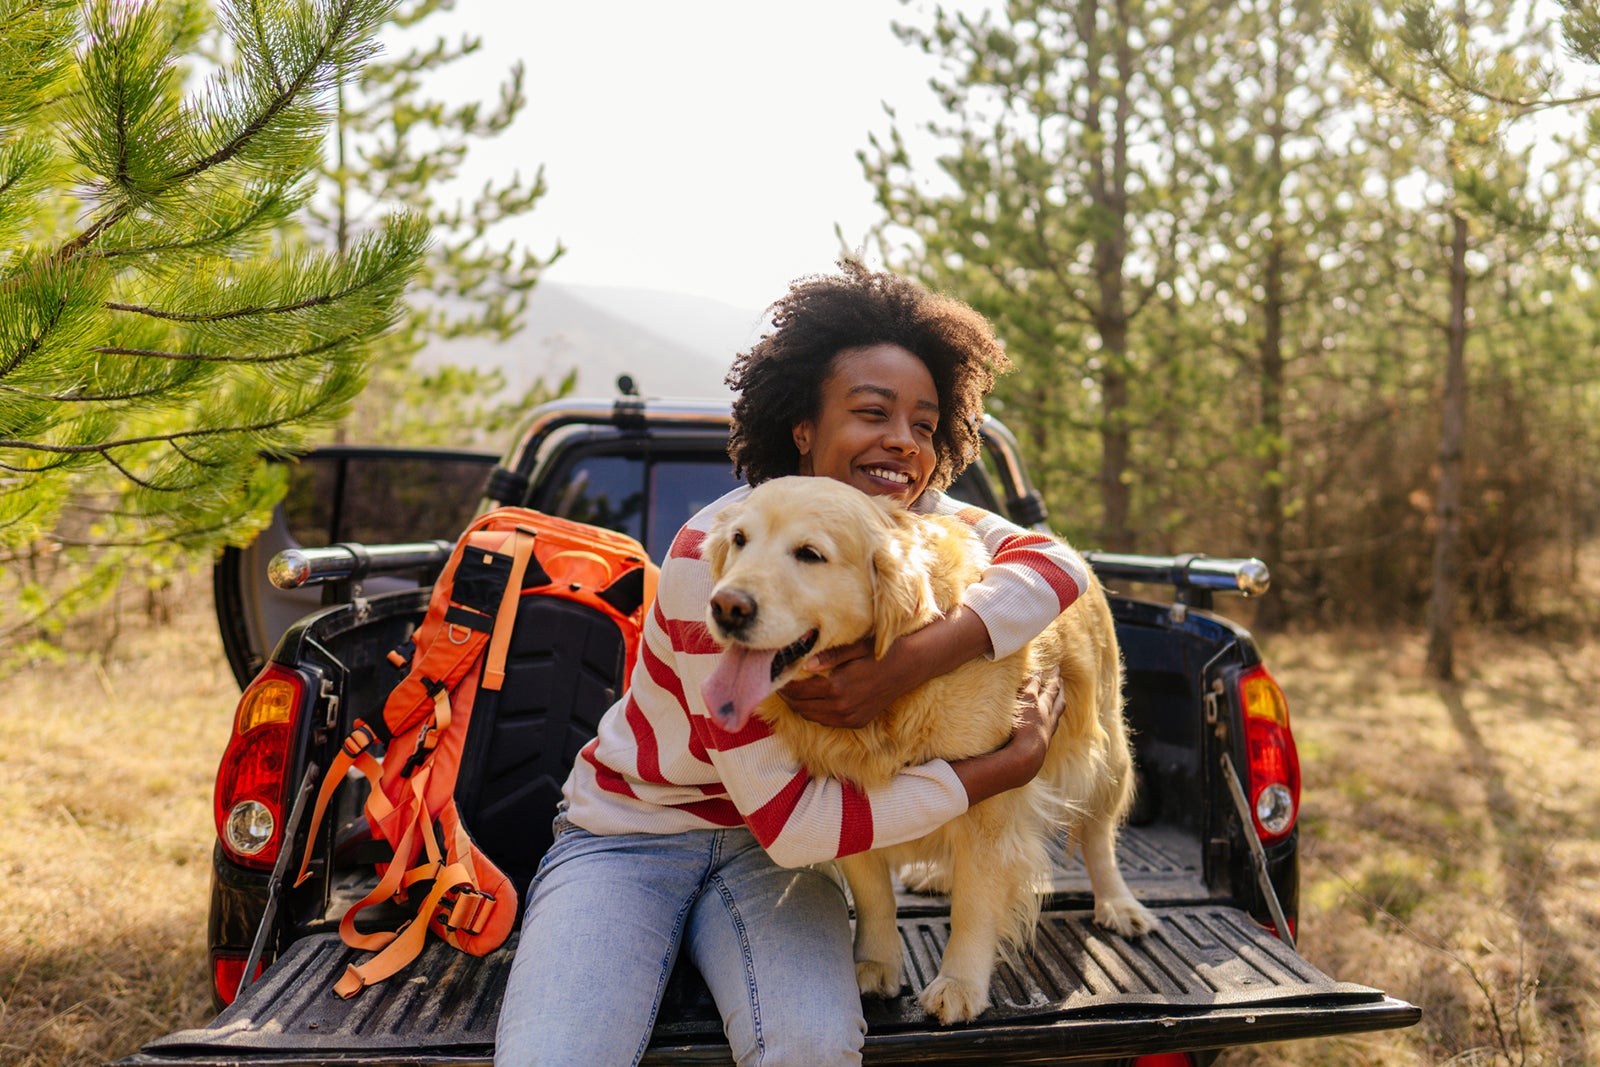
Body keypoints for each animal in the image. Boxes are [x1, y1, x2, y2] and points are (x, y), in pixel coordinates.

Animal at [700, 476, 1152, 1023]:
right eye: (739, 540)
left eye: (810, 554)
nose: (726, 606)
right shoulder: (849, 796)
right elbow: (874, 894)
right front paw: (874, 963)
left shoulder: (990, 805)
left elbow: (976, 905)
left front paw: (960, 983)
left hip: (1104, 753)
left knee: (1098, 835)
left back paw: (1119, 904)